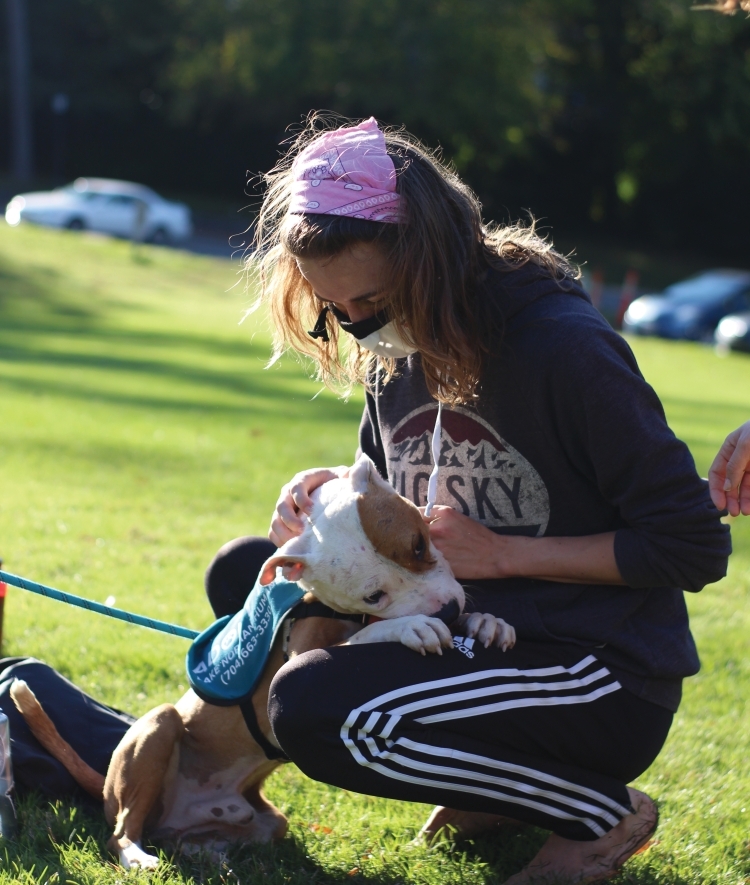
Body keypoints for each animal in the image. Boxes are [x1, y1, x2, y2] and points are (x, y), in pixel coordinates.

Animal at [11, 460, 516, 868]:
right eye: (374, 594)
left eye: (419, 544)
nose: (446, 611)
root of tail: (107, 789)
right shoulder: (302, 652)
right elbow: (367, 634)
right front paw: (414, 627)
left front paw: (486, 621)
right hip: (159, 727)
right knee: (121, 833)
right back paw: (139, 857)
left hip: (268, 822)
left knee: (180, 835)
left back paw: (204, 851)